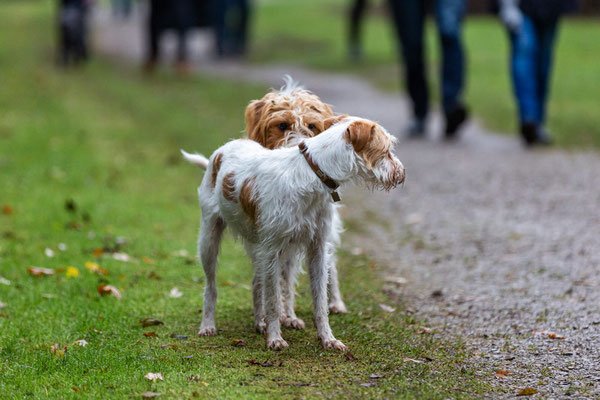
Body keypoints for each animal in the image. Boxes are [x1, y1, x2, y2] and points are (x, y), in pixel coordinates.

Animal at [183, 116, 406, 350]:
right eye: (387, 150)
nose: (402, 173)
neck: (313, 173)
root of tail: (219, 153)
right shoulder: (272, 250)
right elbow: (274, 300)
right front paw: (275, 338)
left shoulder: (317, 250)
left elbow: (320, 302)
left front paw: (327, 338)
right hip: (210, 240)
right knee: (211, 286)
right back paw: (208, 324)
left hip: (267, 248)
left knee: (257, 284)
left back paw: (259, 322)